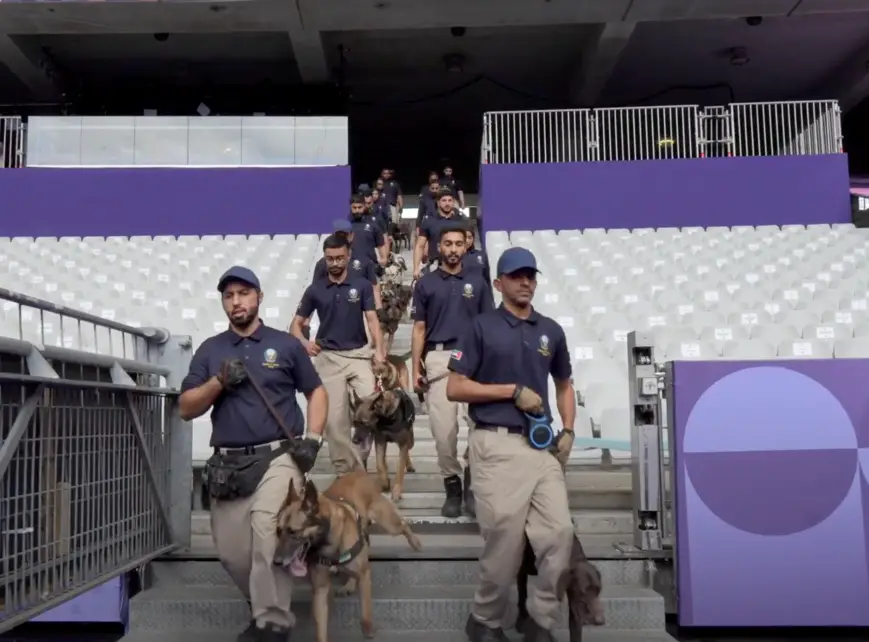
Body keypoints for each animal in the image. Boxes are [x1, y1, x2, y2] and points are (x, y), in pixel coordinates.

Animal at [272, 464, 420, 640]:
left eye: (293, 532)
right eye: (278, 531)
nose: (276, 562)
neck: (329, 540)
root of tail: (359, 472)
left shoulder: (365, 576)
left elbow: (366, 611)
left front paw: (368, 630)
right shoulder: (320, 590)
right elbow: (321, 629)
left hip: (389, 523)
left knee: (403, 526)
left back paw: (415, 542)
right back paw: (348, 584)